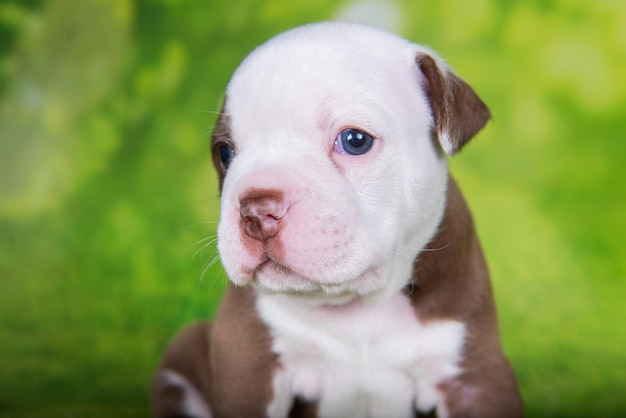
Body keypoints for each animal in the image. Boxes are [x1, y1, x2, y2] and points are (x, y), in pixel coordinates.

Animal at [151, 21, 520, 416]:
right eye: (224, 152)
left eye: (355, 140)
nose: (256, 210)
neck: (357, 305)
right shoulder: (248, 365)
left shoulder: (474, 379)